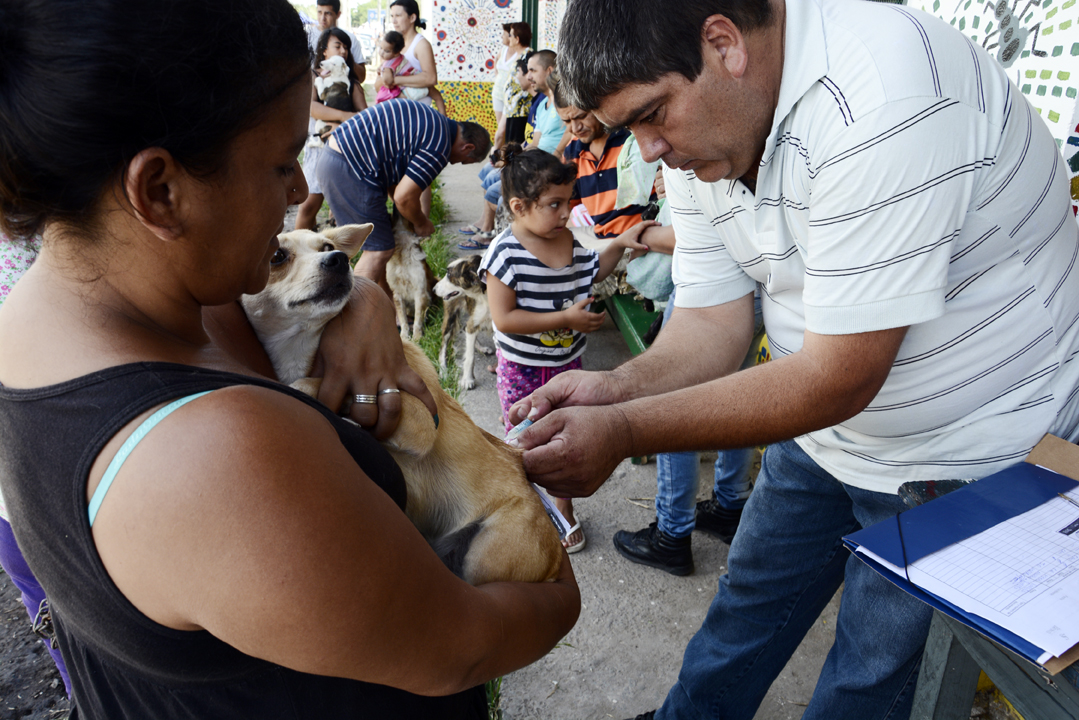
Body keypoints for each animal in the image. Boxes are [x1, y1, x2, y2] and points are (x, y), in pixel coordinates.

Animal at [242, 223, 565, 587]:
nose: (338, 259)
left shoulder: (420, 422)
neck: (302, 351)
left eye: (326, 246)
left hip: (486, 555)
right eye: (277, 256)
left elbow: (305, 385)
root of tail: (555, 558)